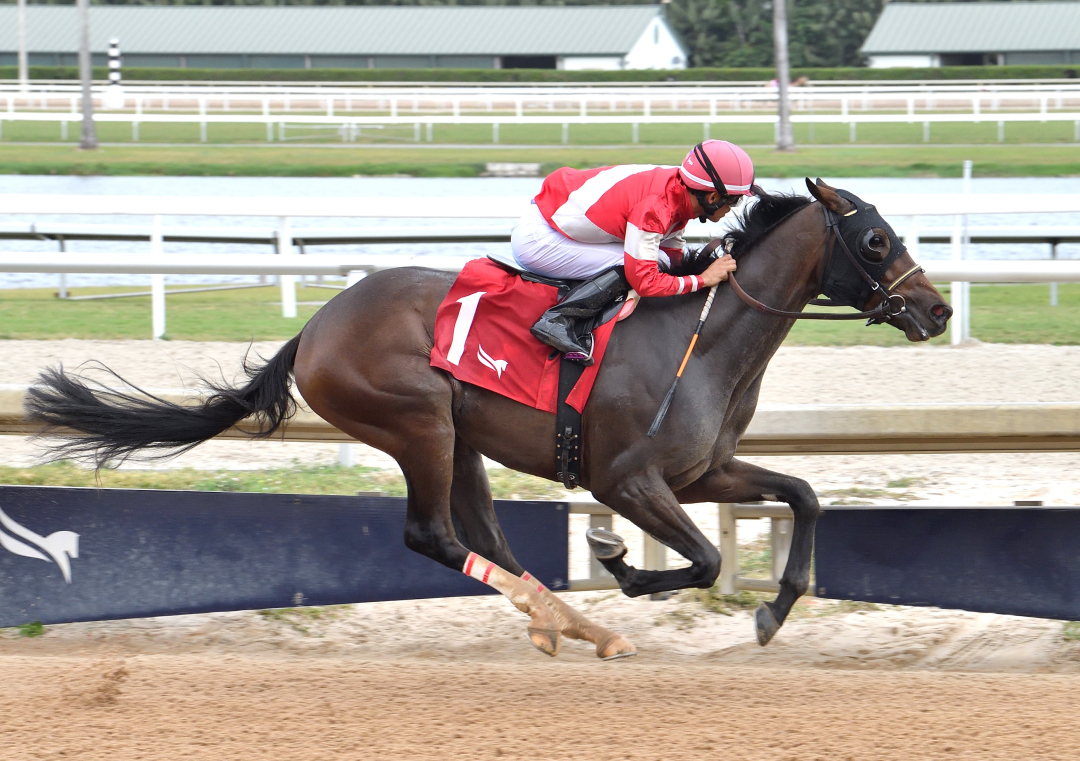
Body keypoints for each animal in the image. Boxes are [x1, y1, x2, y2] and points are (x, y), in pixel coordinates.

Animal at [25, 178, 950, 660]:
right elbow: (704, 557)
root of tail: (317, 325)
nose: (937, 310)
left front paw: (774, 608)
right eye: (875, 240)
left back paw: (570, 623)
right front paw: (617, 559)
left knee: (489, 541)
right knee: (433, 535)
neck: (703, 334)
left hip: (460, 440)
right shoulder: (631, 477)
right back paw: (573, 617)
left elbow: (801, 495)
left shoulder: (703, 470)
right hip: (420, 423)